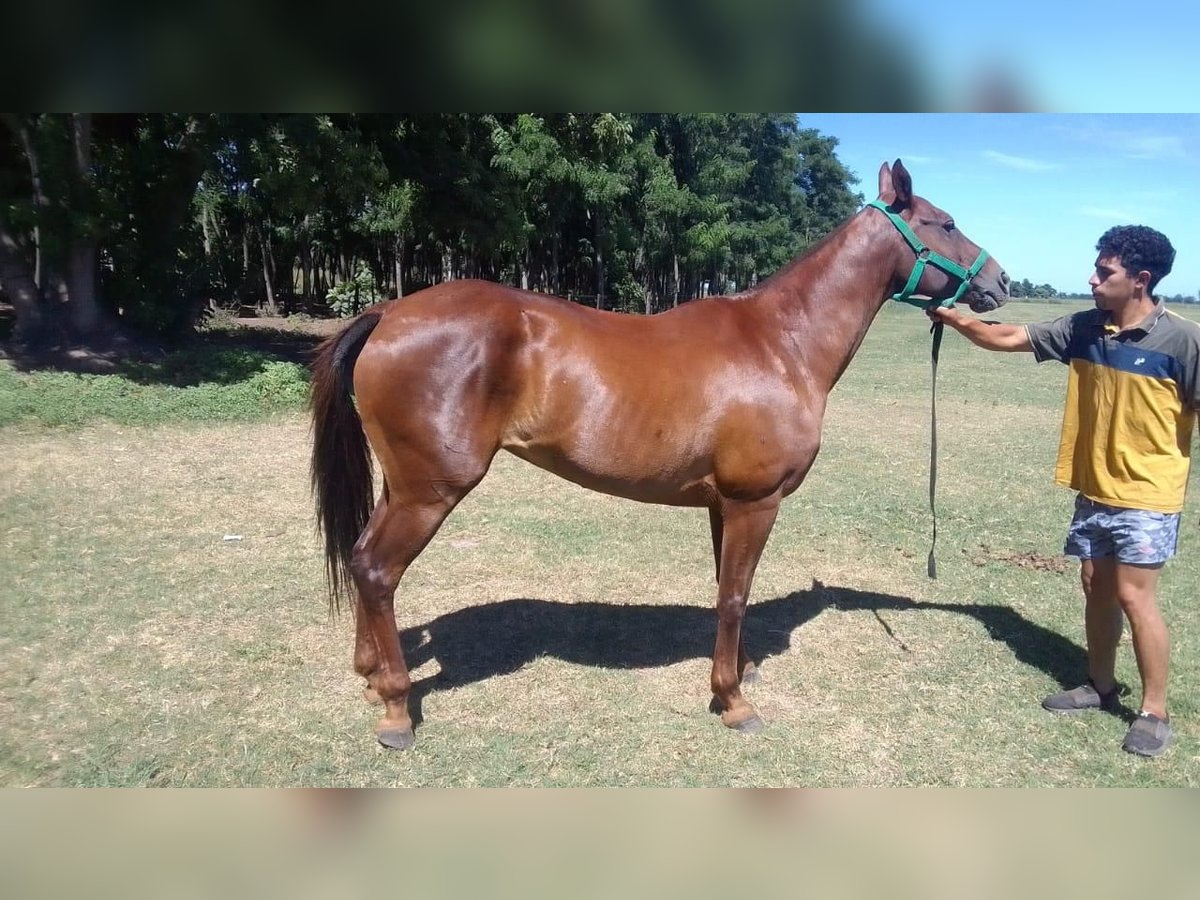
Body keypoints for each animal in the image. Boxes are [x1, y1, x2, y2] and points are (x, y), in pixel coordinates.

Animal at [312, 158, 1012, 748]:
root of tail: (389, 313)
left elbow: (729, 589)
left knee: (363, 558)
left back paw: (370, 674)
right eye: (944, 223)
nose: (1001, 281)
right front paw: (734, 702)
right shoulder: (756, 502)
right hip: (430, 491)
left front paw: (740, 672)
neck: (781, 342)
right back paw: (396, 708)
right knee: (377, 569)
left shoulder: (724, 504)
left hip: (403, 486)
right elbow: (733, 597)